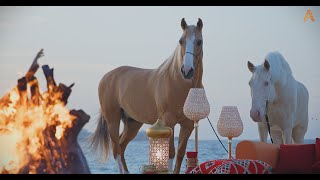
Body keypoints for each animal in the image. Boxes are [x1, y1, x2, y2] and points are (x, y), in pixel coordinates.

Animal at [90, 17, 205, 173]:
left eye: (199, 41)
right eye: (181, 41)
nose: (187, 70)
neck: (180, 84)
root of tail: (107, 77)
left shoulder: (188, 125)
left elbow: (180, 154)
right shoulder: (168, 122)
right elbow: (170, 153)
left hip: (132, 124)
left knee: (122, 146)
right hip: (113, 120)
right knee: (116, 150)